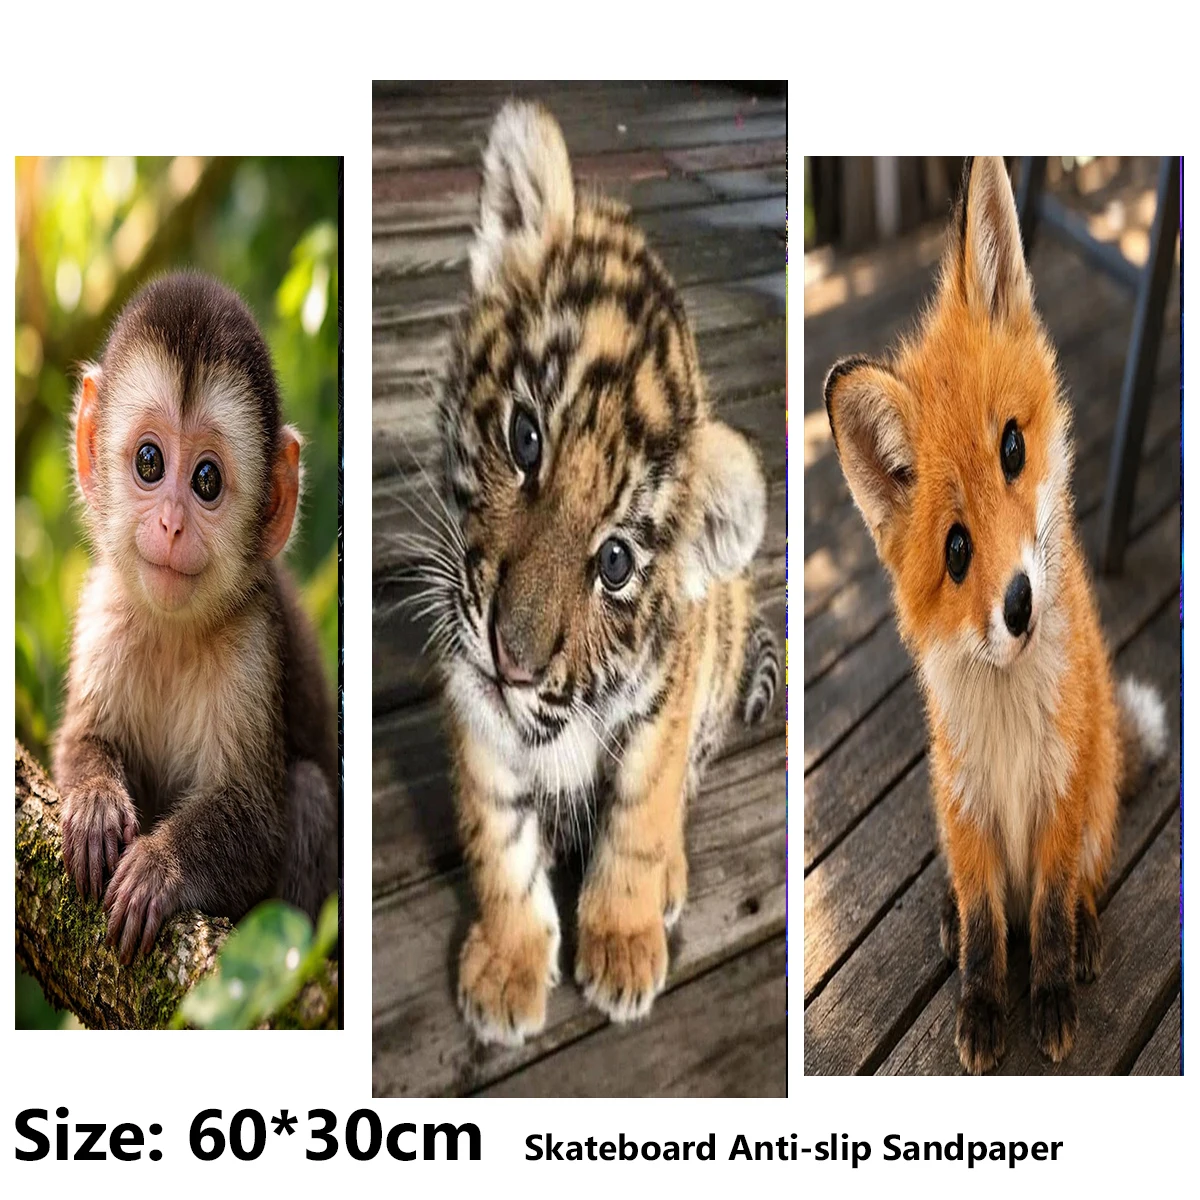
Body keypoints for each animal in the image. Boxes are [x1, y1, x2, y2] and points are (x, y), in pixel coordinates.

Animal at [52, 271, 339, 965]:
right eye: (150, 463)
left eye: (206, 479)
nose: (172, 524)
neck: (172, 632)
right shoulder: (102, 612)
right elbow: (79, 741)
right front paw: (95, 804)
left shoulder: (254, 640)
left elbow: (254, 816)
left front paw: (162, 867)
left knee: (311, 796)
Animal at [419, 101, 780, 1046]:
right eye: (524, 438)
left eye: (615, 562)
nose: (511, 658)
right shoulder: (473, 696)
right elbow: (498, 837)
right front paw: (510, 965)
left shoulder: (662, 707)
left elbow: (639, 816)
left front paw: (620, 943)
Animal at [823, 156, 1167, 1073]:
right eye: (956, 550)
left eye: (1013, 447)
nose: (1018, 601)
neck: (1012, 723)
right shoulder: (967, 807)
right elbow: (985, 933)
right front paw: (981, 1005)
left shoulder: (1057, 802)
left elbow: (1043, 917)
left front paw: (1046, 993)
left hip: (1093, 807)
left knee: (1085, 885)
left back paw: (1085, 940)